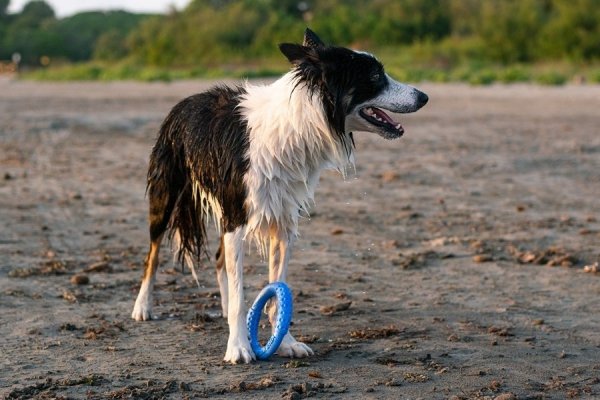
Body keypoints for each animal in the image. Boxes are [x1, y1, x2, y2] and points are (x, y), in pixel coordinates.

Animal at [134, 29, 428, 364]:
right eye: (376, 76)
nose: (424, 96)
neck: (300, 125)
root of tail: (184, 102)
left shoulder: (283, 221)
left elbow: (277, 288)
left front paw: (285, 341)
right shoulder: (237, 217)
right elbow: (241, 294)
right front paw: (238, 346)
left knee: (221, 260)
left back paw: (221, 308)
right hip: (167, 194)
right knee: (153, 253)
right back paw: (143, 307)